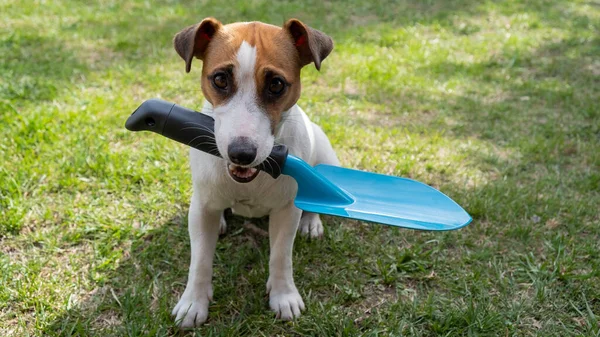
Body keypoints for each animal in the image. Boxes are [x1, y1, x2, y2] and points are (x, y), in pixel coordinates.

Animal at [171, 17, 340, 326]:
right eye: (220, 79)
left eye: (276, 84)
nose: (241, 153)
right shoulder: (201, 207)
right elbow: (200, 260)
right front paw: (193, 302)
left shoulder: (286, 210)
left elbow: (281, 256)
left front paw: (284, 295)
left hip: (326, 160)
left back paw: (311, 222)